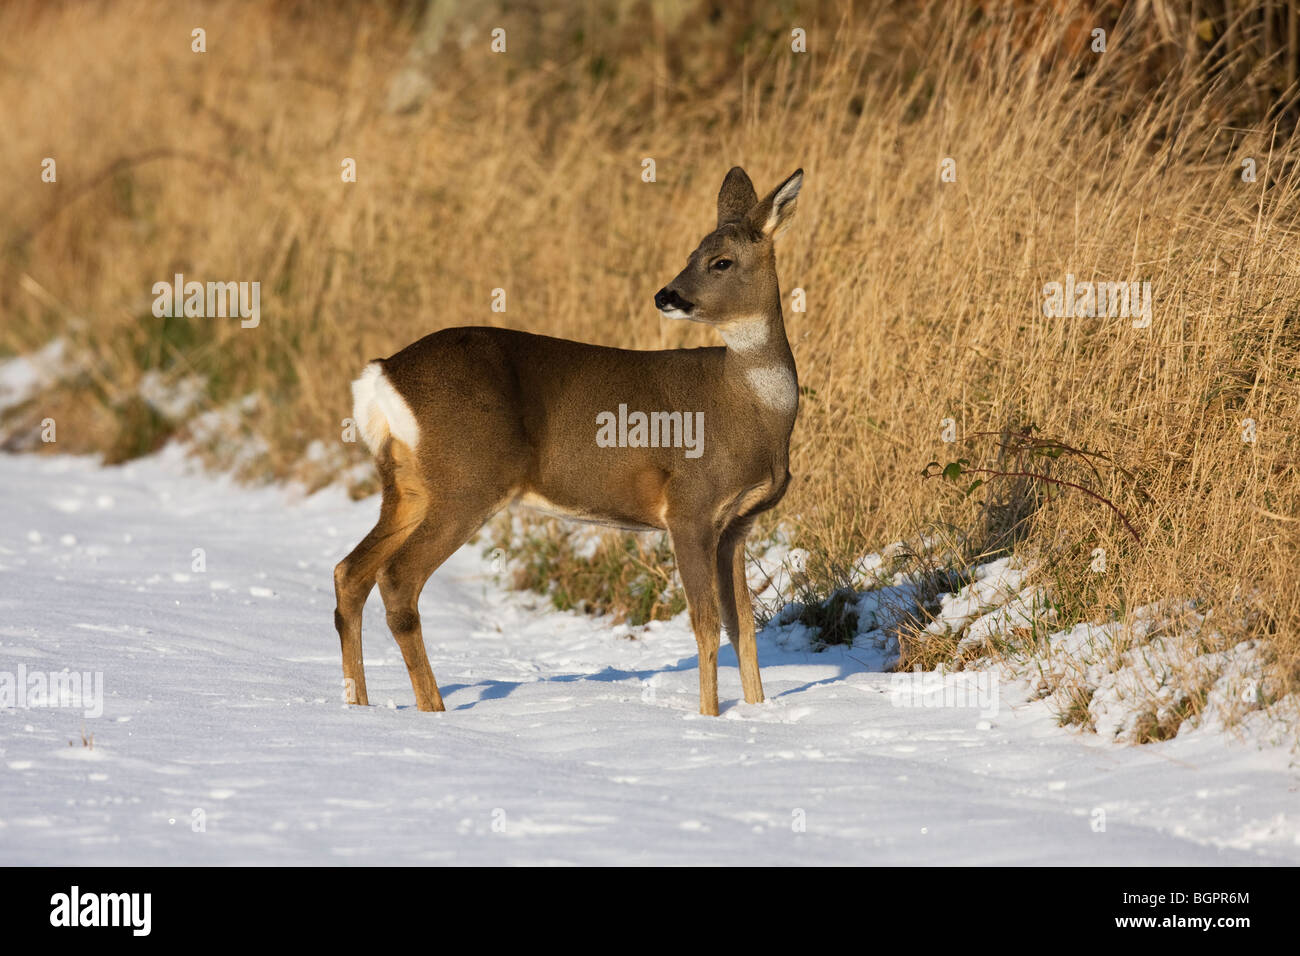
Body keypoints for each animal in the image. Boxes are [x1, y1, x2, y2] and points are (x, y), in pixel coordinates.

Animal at [335, 166, 800, 717]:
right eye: (693, 254)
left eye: (720, 260)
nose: (666, 295)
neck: (752, 412)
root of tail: (380, 374)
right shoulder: (690, 506)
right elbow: (706, 626)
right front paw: (710, 718)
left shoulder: (737, 525)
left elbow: (742, 629)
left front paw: (757, 712)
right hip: (467, 481)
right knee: (397, 578)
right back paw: (434, 711)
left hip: (408, 485)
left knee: (350, 572)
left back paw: (358, 705)